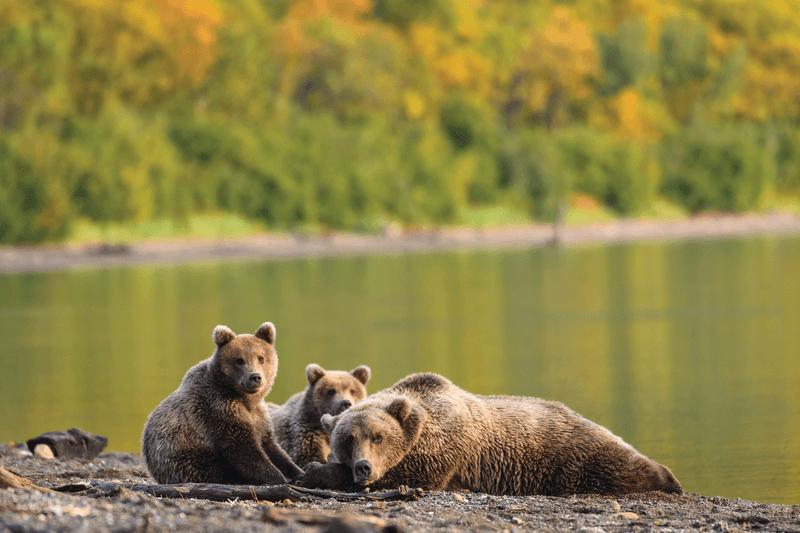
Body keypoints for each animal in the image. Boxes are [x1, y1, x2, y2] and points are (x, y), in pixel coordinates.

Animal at [141, 322, 304, 485]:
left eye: (261, 358)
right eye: (239, 360)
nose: (255, 377)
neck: (245, 399)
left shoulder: (260, 417)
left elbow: (272, 447)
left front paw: (298, 472)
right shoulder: (219, 409)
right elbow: (244, 450)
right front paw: (279, 477)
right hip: (185, 457)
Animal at [298, 373, 682, 497]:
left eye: (378, 436)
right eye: (348, 439)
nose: (363, 467)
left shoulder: (443, 447)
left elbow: (412, 474)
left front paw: (316, 471)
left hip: (575, 453)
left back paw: (668, 479)